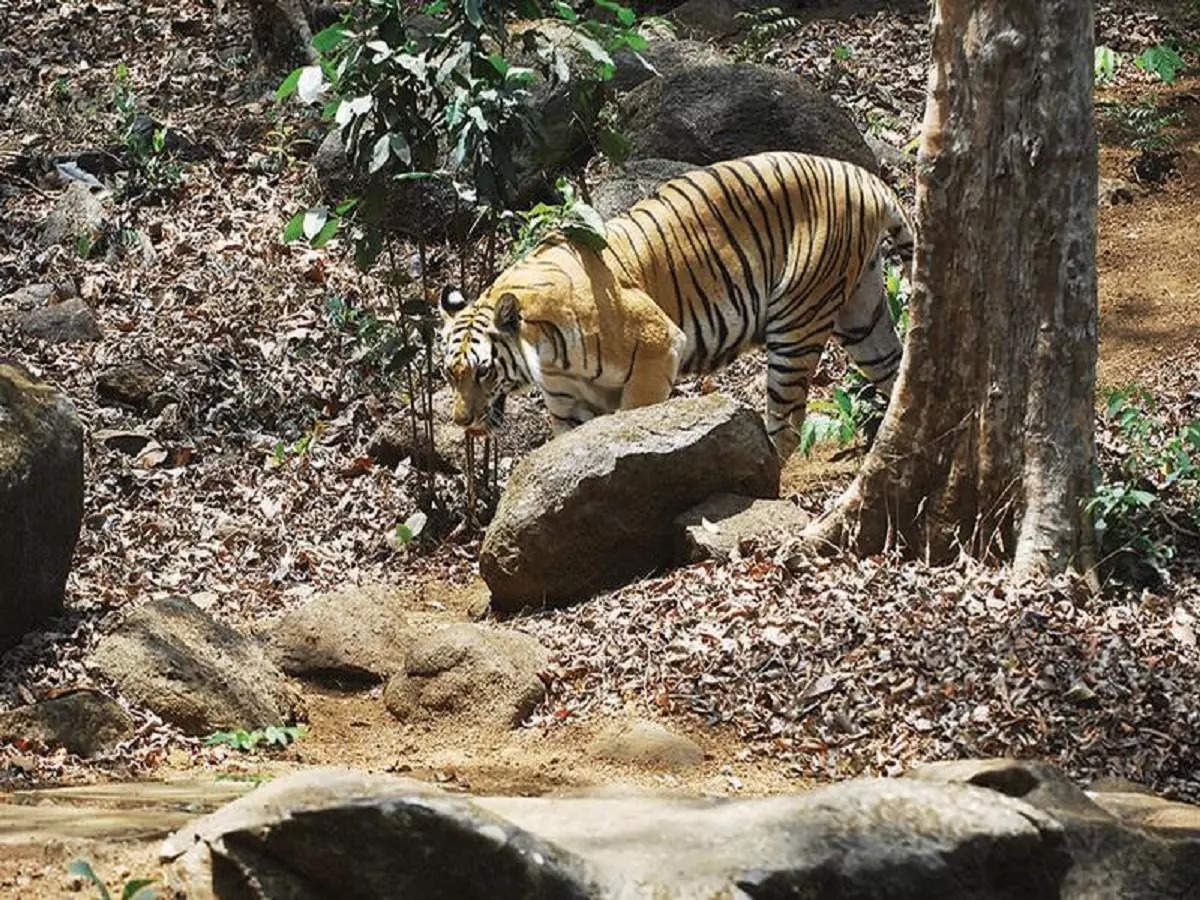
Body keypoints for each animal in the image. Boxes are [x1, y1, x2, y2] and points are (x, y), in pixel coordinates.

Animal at [436, 150, 912, 458]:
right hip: (863, 315)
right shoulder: (570, 405)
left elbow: (632, 422)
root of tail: (864, 178)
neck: (548, 355)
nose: (462, 422)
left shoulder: (656, 348)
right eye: (448, 373)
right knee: (897, 370)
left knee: (788, 419)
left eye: (483, 371)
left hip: (797, 321)